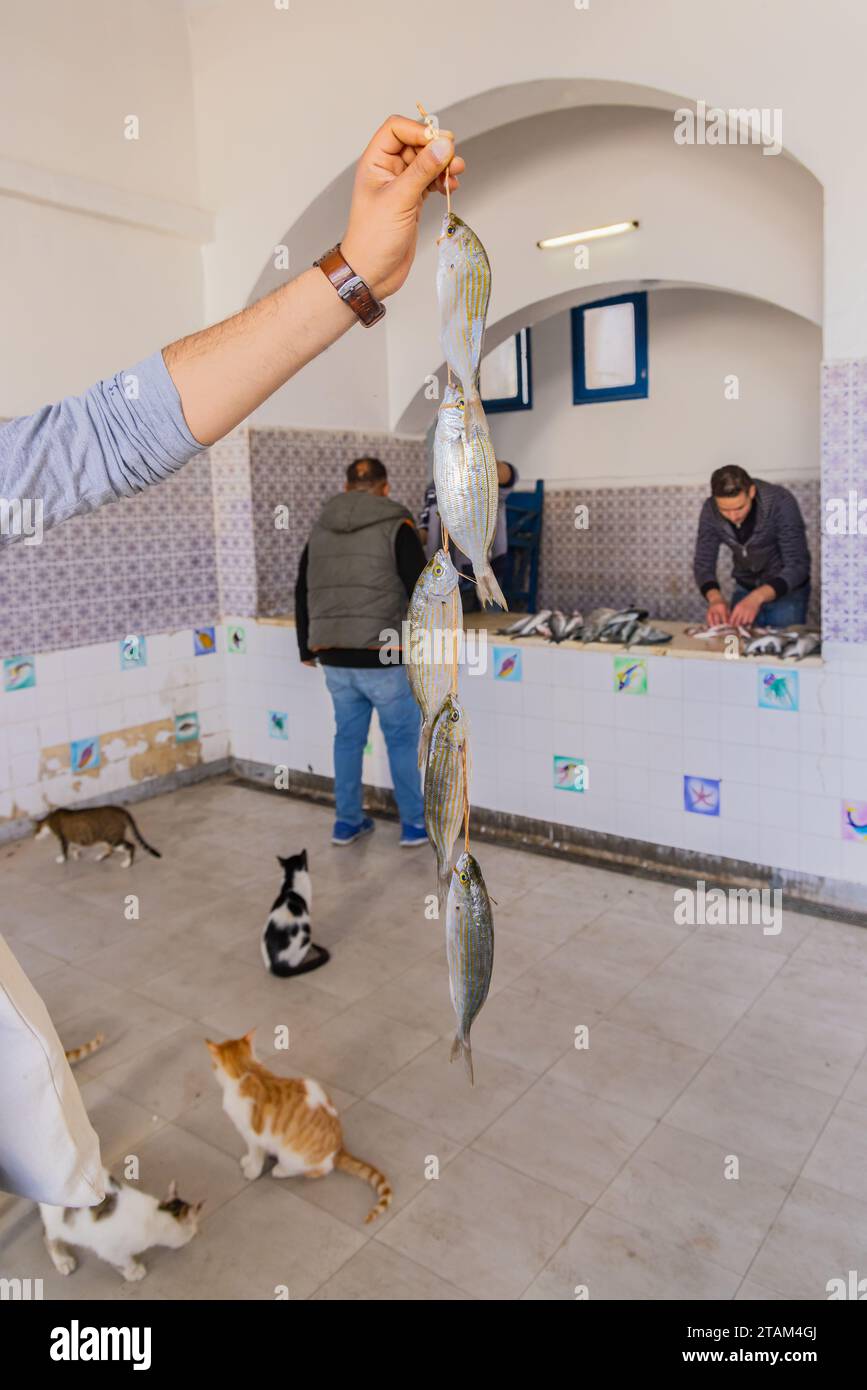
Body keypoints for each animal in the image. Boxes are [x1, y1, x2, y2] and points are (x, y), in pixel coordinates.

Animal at [33, 811, 161, 861]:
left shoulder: (63, 837)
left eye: (35, 831)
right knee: (110, 849)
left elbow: (64, 849)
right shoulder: (71, 838)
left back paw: (126, 863)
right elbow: (74, 846)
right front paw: (76, 854)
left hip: (112, 837)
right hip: (107, 837)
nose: (34, 837)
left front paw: (63, 858)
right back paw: (101, 857)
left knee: (130, 846)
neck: (49, 819)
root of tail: (122, 811)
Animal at [40, 1173, 204, 1278]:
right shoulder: (110, 1249)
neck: (155, 1216)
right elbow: (123, 1261)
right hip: (58, 1224)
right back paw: (62, 1261)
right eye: (194, 1226)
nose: (196, 1231)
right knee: (47, 1237)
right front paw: (134, 1272)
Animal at [204, 1028, 391, 1223]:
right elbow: (251, 1152)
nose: (212, 1069)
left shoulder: (253, 1135)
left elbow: (255, 1154)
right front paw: (247, 1160)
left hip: (291, 1154)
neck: (247, 1070)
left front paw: (251, 1170)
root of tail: (339, 1148)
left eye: (214, 1066)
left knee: (321, 1169)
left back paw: (281, 1170)